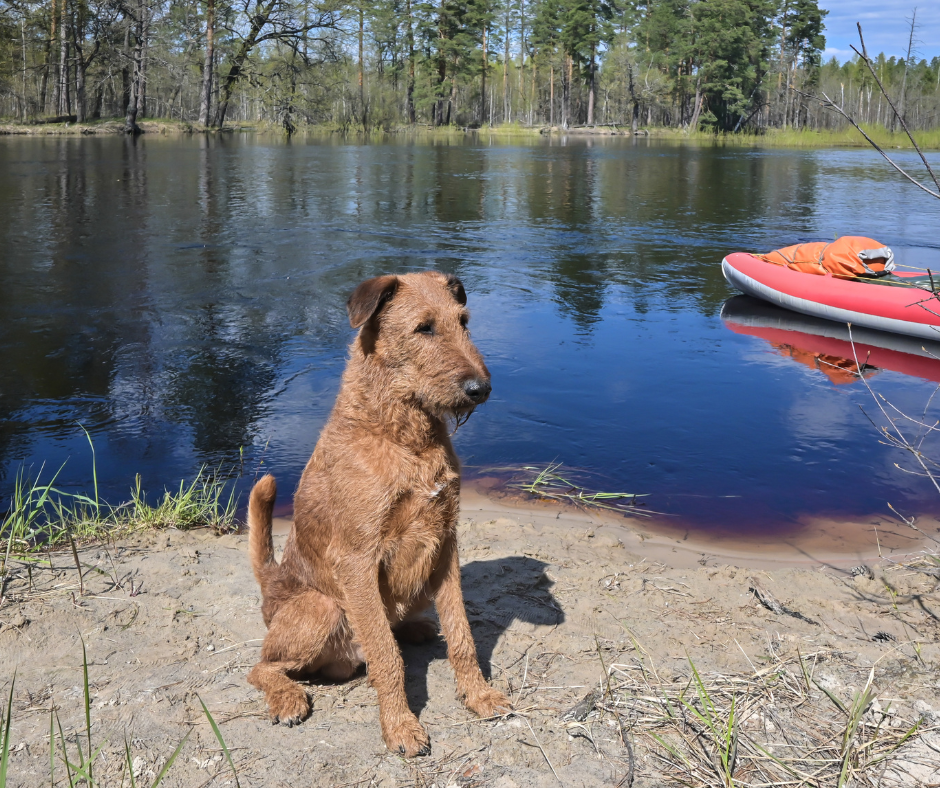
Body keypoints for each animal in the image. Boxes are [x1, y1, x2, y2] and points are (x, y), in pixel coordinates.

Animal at [248, 272, 516, 756]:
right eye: (424, 328)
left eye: (463, 321)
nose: (481, 389)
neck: (403, 435)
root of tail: (271, 584)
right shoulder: (357, 559)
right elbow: (386, 658)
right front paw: (400, 726)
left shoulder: (445, 543)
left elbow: (462, 635)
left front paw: (479, 695)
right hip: (321, 608)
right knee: (262, 666)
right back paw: (288, 698)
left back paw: (415, 629)